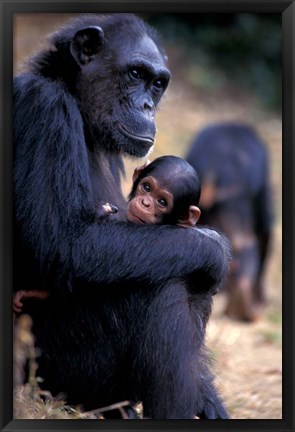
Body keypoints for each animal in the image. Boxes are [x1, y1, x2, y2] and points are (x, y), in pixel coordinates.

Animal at [13, 14, 231, 418]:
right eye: (134, 74)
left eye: (157, 83)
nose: (146, 105)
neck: (80, 108)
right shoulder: (44, 109)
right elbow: (68, 244)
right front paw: (215, 248)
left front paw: (210, 399)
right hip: (52, 371)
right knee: (165, 285)